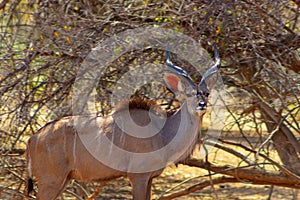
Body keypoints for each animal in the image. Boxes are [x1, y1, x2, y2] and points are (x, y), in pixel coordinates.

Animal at [26, 44, 220, 199]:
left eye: (206, 93)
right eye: (189, 94)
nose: (202, 105)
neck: (162, 133)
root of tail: (33, 138)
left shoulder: (149, 178)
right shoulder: (138, 177)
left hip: (63, 179)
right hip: (51, 181)